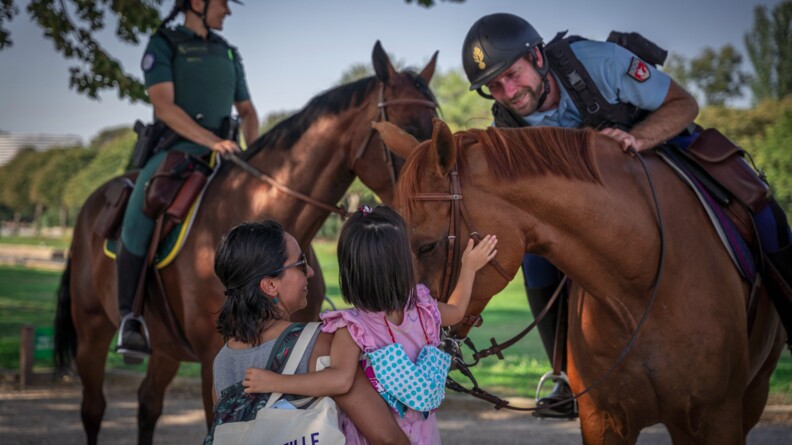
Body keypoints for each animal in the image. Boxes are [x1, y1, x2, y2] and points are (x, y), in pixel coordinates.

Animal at [54, 42, 440, 444]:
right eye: (407, 131)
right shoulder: (214, 358)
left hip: (164, 346)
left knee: (148, 404)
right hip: (92, 330)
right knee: (93, 408)